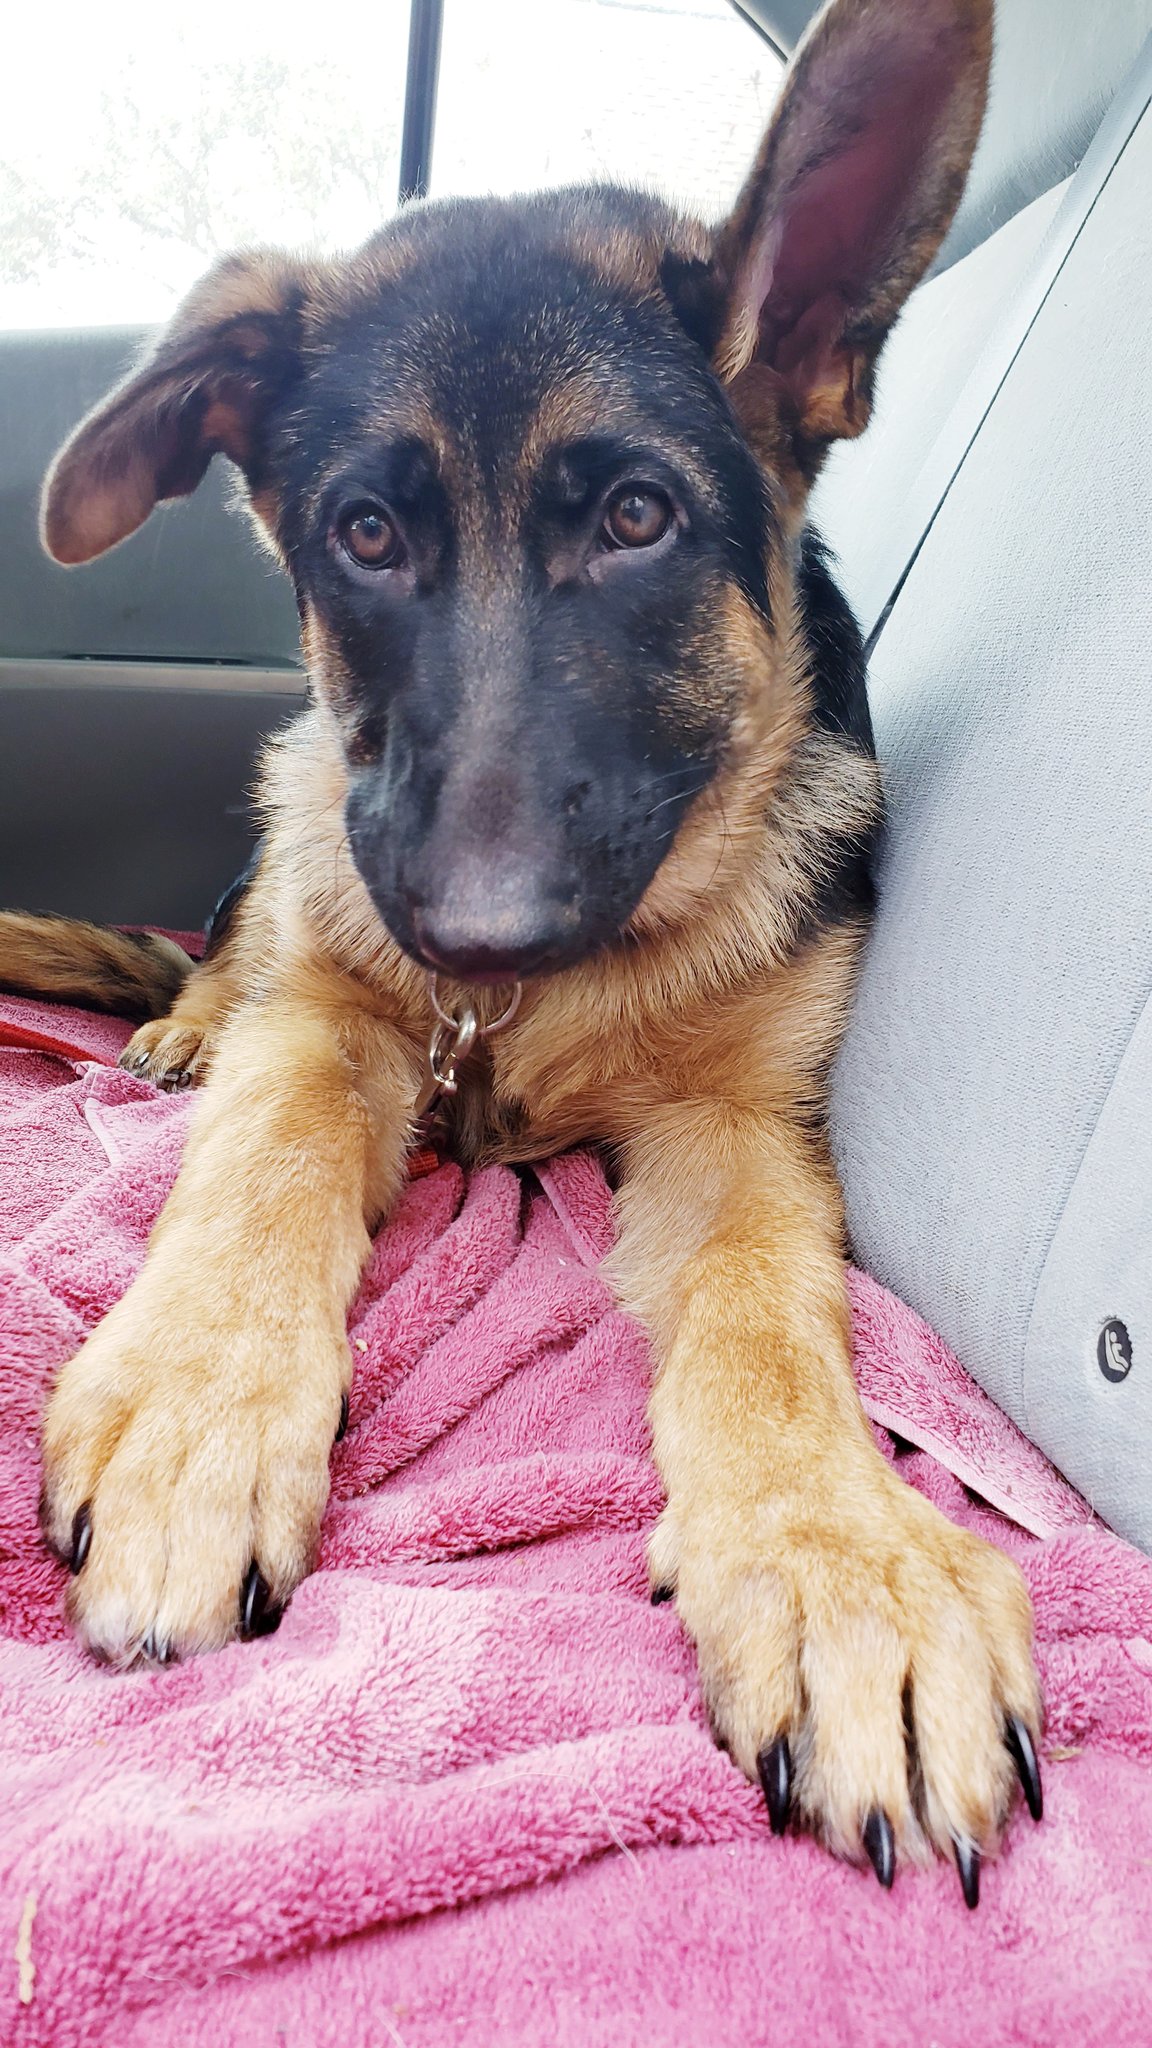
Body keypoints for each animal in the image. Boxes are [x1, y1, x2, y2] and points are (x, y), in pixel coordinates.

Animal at [0, 0, 1041, 1905]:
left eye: (636, 521)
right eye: (364, 534)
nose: (475, 932)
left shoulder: (738, 1129)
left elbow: (768, 1315)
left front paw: (840, 1555)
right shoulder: (337, 1010)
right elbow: (266, 1158)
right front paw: (200, 1404)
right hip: (298, 792)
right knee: (240, 945)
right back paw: (181, 1027)